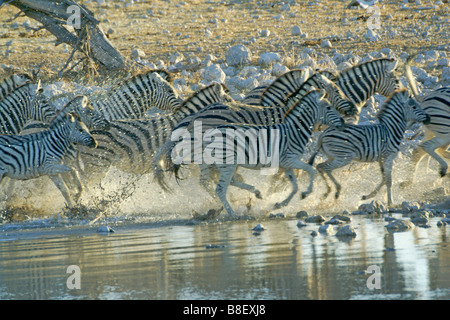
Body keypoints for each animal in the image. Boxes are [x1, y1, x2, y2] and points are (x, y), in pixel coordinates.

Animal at [155, 89, 344, 216]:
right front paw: (306, 193)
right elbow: (310, 171)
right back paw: (232, 212)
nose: (343, 121)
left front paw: (281, 203)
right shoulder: (289, 160)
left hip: (222, 163)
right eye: (328, 107)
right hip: (226, 163)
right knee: (219, 186)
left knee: (220, 182)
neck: (293, 130)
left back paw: (250, 196)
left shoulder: (285, 164)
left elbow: (295, 184)